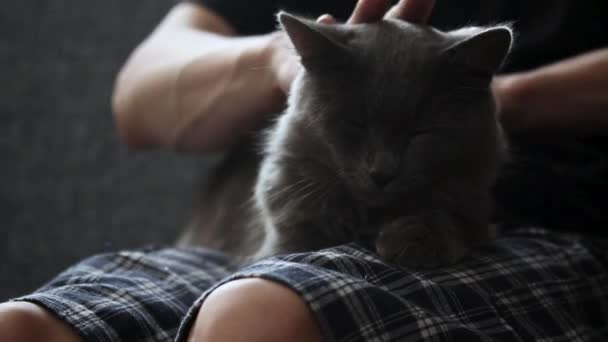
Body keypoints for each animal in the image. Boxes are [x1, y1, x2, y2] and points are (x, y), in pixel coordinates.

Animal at [180, 13, 512, 268]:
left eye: (420, 132)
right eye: (355, 124)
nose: (382, 174)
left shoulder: (473, 200)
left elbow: (451, 216)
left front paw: (414, 241)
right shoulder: (284, 221)